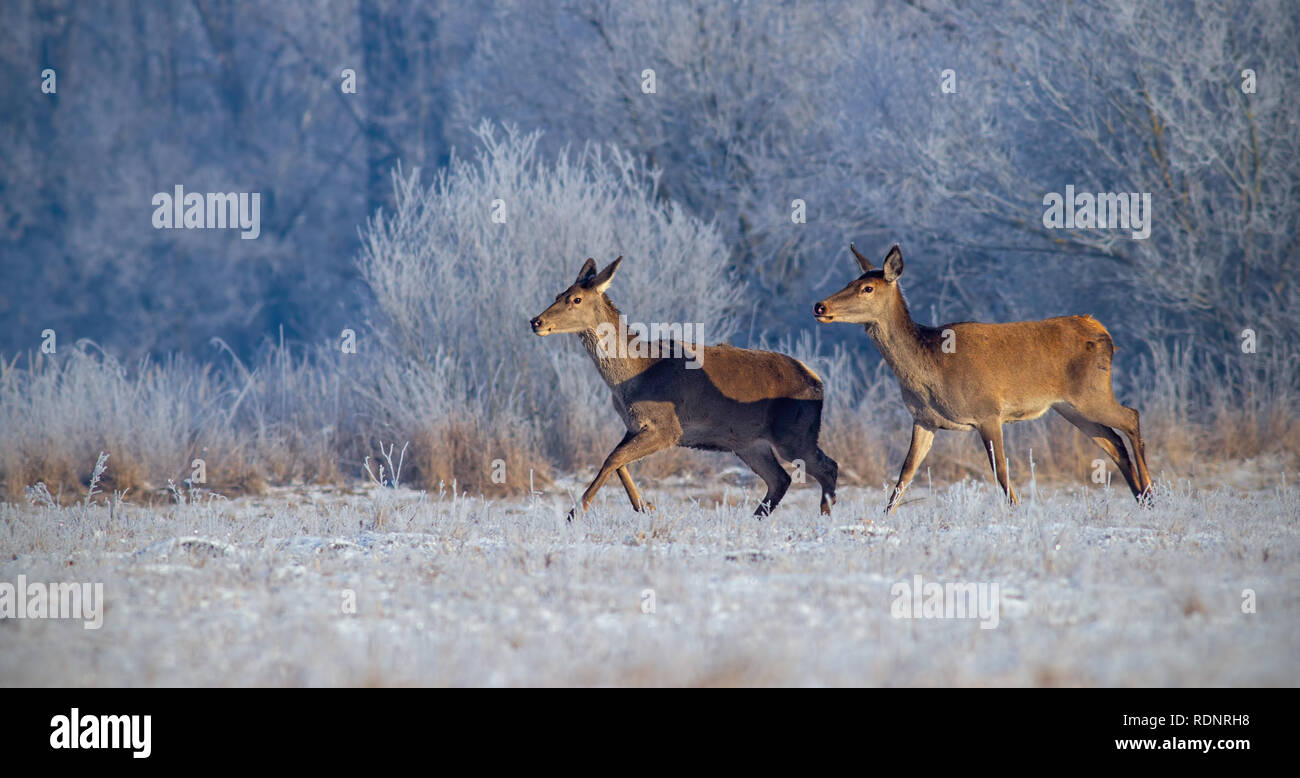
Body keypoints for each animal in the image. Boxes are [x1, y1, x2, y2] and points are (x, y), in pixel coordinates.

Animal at [530, 258, 842, 520]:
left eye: (576, 299)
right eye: (558, 294)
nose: (536, 321)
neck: (631, 378)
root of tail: (818, 382)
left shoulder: (669, 427)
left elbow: (613, 458)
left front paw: (575, 512)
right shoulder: (634, 424)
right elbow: (618, 461)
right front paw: (644, 506)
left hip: (794, 432)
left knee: (827, 467)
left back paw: (824, 517)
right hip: (749, 442)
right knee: (781, 478)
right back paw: (757, 518)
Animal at [816, 244, 1154, 512]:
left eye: (867, 289)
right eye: (850, 281)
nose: (820, 306)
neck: (929, 367)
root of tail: (1104, 333)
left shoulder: (988, 412)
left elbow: (1001, 470)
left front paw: (1016, 511)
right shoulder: (923, 419)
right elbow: (905, 473)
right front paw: (885, 517)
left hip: (1092, 393)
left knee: (1131, 417)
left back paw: (1150, 494)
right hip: (1069, 406)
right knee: (1112, 441)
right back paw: (1140, 497)